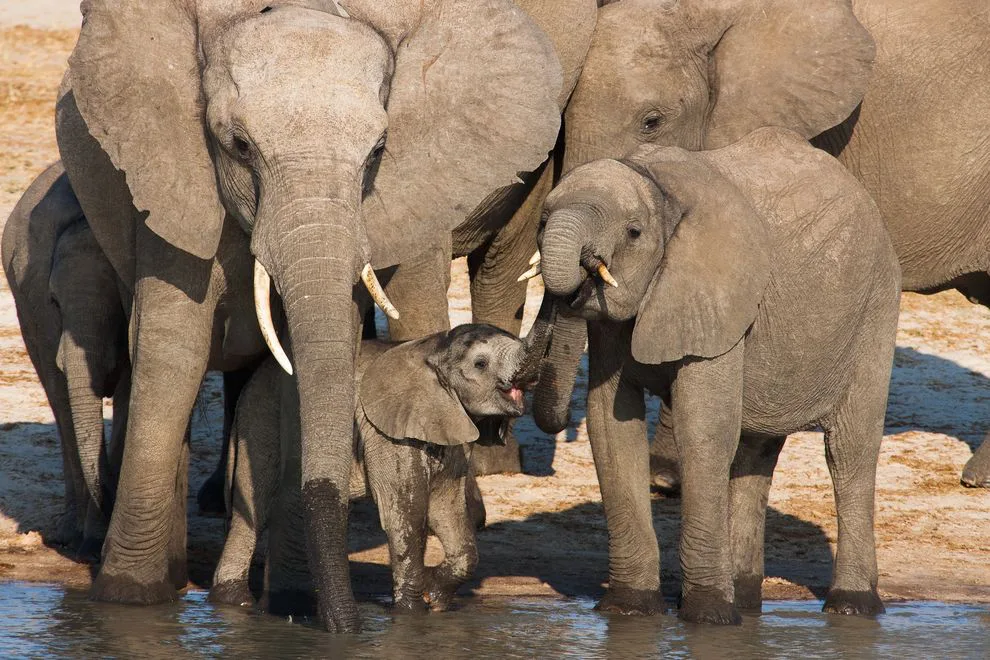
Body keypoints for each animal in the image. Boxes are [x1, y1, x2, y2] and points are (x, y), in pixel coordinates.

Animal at [2, 161, 131, 557]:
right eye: (55, 302)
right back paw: (69, 534)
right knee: (59, 401)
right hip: (25, 311)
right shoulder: (39, 307)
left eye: (117, 304)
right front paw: (91, 541)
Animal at [210, 325, 529, 612]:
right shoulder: (388, 434)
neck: (434, 350)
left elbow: (447, 509)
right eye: (481, 363)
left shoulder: (453, 428)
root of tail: (249, 388)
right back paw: (236, 602)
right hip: (261, 421)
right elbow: (407, 514)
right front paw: (412, 612)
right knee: (254, 510)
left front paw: (435, 598)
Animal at [533, 128, 901, 623]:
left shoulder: (718, 296)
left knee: (849, 451)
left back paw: (851, 605)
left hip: (875, 307)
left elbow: (703, 430)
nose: (583, 274)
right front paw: (629, 609)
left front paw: (708, 617)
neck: (656, 185)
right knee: (754, 453)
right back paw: (745, 598)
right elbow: (611, 428)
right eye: (541, 221)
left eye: (633, 232)